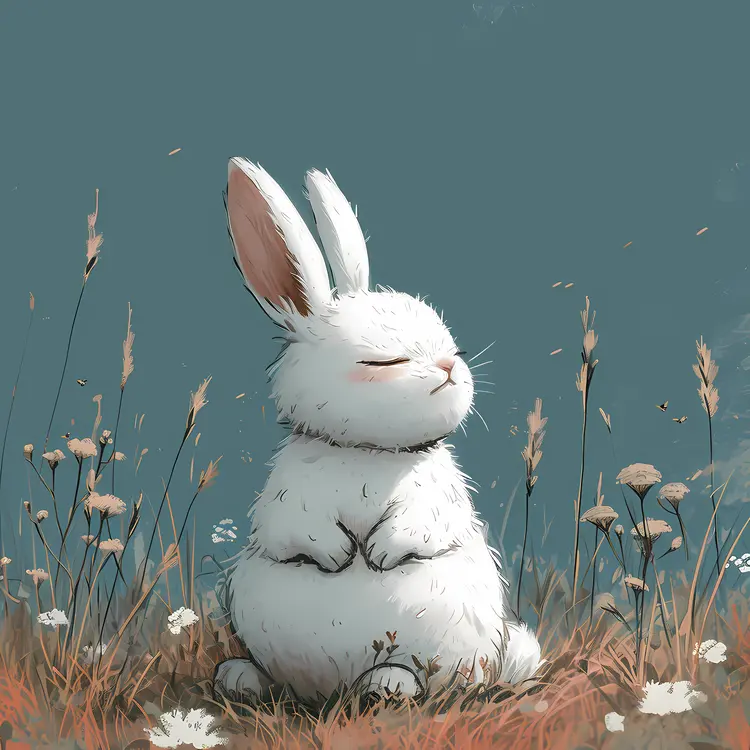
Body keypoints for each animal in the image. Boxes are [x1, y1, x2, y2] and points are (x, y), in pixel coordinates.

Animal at [213, 157, 543, 704]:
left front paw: (380, 554)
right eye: (383, 362)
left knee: (419, 678)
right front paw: (341, 555)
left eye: (450, 343)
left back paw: (386, 685)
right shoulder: (288, 501)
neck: (369, 451)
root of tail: (329, 690)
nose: (450, 366)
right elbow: (297, 531)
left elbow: (421, 525)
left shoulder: (434, 499)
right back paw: (241, 678)